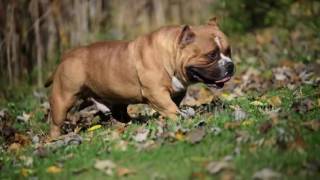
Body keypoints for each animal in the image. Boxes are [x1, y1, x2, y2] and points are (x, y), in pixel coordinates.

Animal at [45, 18, 235, 138]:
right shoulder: (156, 93)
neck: (170, 55)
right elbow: (170, 107)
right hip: (64, 98)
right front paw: (179, 118)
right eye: (211, 55)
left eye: (228, 51)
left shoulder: (178, 91)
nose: (230, 65)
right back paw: (54, 139)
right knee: (56, 122)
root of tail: (66, 56)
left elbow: (173, 104)